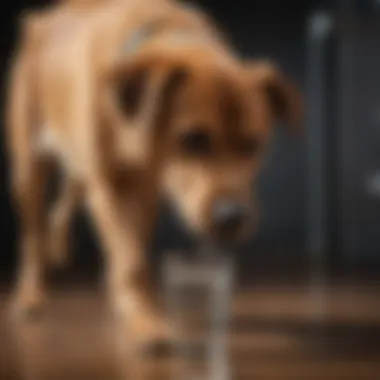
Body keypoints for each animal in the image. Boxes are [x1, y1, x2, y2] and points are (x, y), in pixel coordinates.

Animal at [5, 0, 302, 348]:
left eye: (253, 144)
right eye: (193, 139)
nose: (232, 218)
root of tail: (41, 19)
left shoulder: (145, 187)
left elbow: (134, 249)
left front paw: (132, 303)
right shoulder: (110, 186)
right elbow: (130, 258)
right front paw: (146, 321)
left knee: (63, 204)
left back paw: (60, 248)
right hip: (29, 171)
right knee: (32, 235)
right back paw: (30, 295)